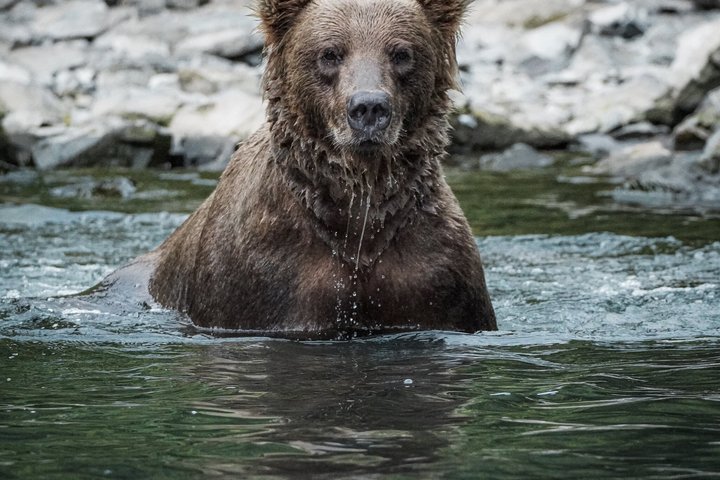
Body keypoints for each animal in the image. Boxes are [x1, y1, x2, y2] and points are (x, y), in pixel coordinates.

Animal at [108, 0, 496, 339]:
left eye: (401, 53)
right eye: (330, 53)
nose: (369, 108)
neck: (357, 221)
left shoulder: (434, 276)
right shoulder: (264, 278)